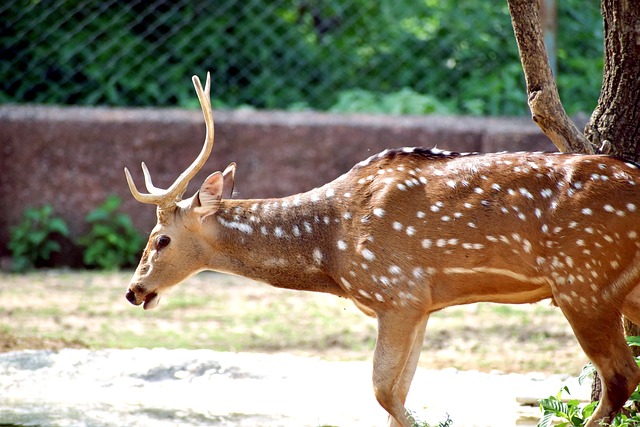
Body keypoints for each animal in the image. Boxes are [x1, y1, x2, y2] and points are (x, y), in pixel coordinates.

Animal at [125, 74, 640, 427]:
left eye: (161, 238)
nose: (133, 290)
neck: (332, 249)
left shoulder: (396, 292)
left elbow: (382, 392)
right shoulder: (422, 304)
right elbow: (398, 393)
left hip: (583, 280)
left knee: (620, 379)